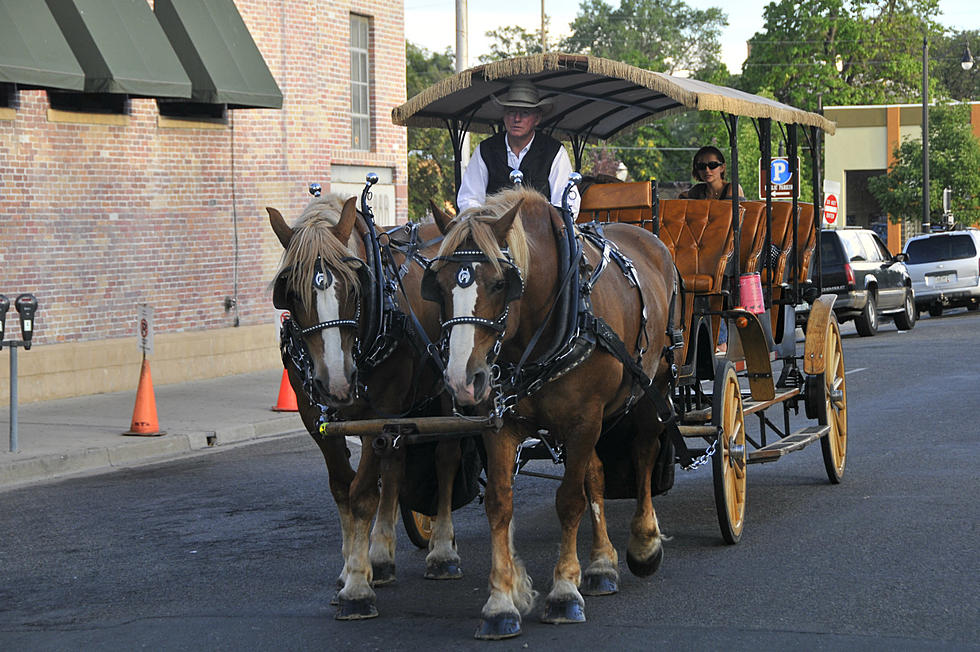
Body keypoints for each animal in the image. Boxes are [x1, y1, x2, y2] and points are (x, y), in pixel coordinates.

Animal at [268, 191, 468, 620]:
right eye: (291, 293)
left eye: (353, 288)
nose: (337, 382)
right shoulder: (318, 419)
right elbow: (343, 490)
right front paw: (351, 569)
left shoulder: (379, 413)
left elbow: (362, 495)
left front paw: (358, 588)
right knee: (396, 466)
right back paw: (382, 556)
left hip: (447, 391)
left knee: (445, 459)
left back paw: (441, 551)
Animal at [428, 187, 680, 636]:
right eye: (437, 285)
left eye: (500, 283)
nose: (462, 380)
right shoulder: (502, 423)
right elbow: (500, 502)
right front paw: (501, 602)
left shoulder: (583, 421)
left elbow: (569, 500)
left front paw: (563, 592)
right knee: (596, 473)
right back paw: (601, 566)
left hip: (653, 388)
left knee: (644, 455)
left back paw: (644, 542)